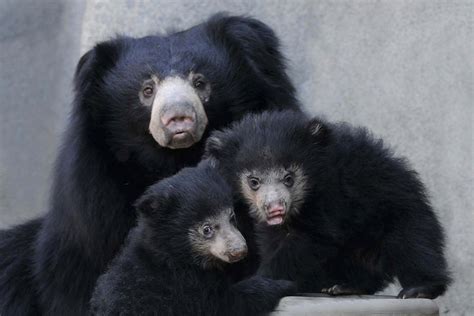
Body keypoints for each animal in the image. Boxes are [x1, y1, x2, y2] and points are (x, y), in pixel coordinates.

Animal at [207, 111, 452, 302]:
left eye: (289, 178)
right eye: (254, 181)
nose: (276, 208)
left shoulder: (332, 194)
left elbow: (312, 238)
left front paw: (264, 279)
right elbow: (274, 239)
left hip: (400, 210)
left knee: (414, 245)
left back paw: (419, 289)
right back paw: (345, 285)